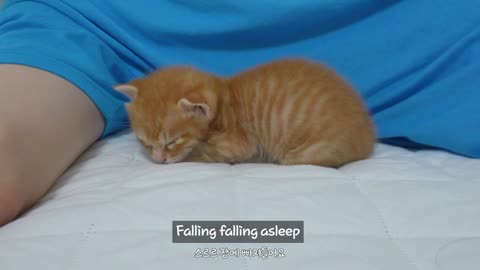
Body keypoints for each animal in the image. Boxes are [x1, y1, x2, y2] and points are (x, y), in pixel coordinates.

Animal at [115, 59, 376, 167]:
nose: (158, 160)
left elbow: (199, 154)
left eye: (172, 142)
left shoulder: (239, 144)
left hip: (307, 153)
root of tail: (369, 137)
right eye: (144, 143)